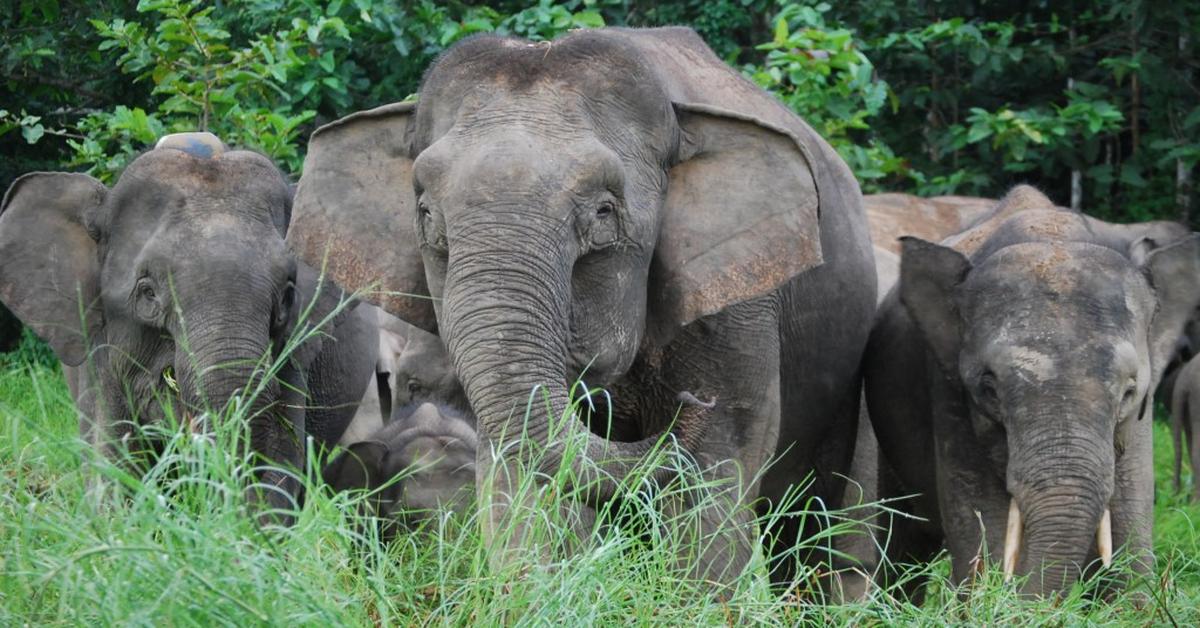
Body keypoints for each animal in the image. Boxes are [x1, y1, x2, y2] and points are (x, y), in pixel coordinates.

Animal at [286, 28, 878, 590]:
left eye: (603, 213)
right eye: (427, 213)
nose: (691, 403)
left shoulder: (739, 303)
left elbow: (722, 455)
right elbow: (513, 459)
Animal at [864, 184, 1200, 597]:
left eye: (1128, 391)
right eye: (989, 388)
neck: (1049, 234)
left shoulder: (1140, 415)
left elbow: (1131, 519)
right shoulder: (947, 390)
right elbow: (980, 515)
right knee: (904, 539)